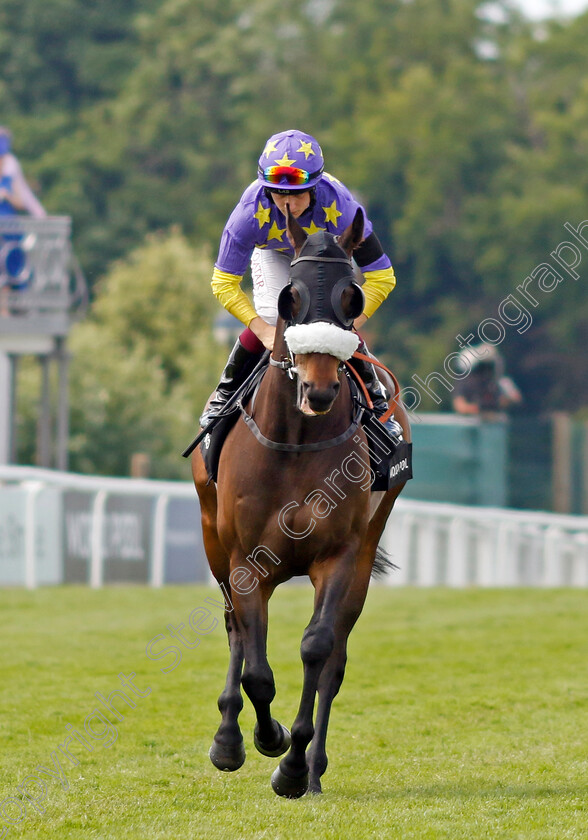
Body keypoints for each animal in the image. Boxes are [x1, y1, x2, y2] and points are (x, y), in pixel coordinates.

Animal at [192, 207, 408, 796]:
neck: (295, 440)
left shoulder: (338, 555)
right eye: (290, 298)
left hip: (368, 544)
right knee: (234, 630)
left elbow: (317, 648)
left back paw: (312, 770)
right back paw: (228, 738)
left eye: (351, 299)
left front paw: (292, 765)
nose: (320, 389)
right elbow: (256, 671)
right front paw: (263, 739)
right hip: (214, 540)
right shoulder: (246, 561)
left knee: (335, 656)